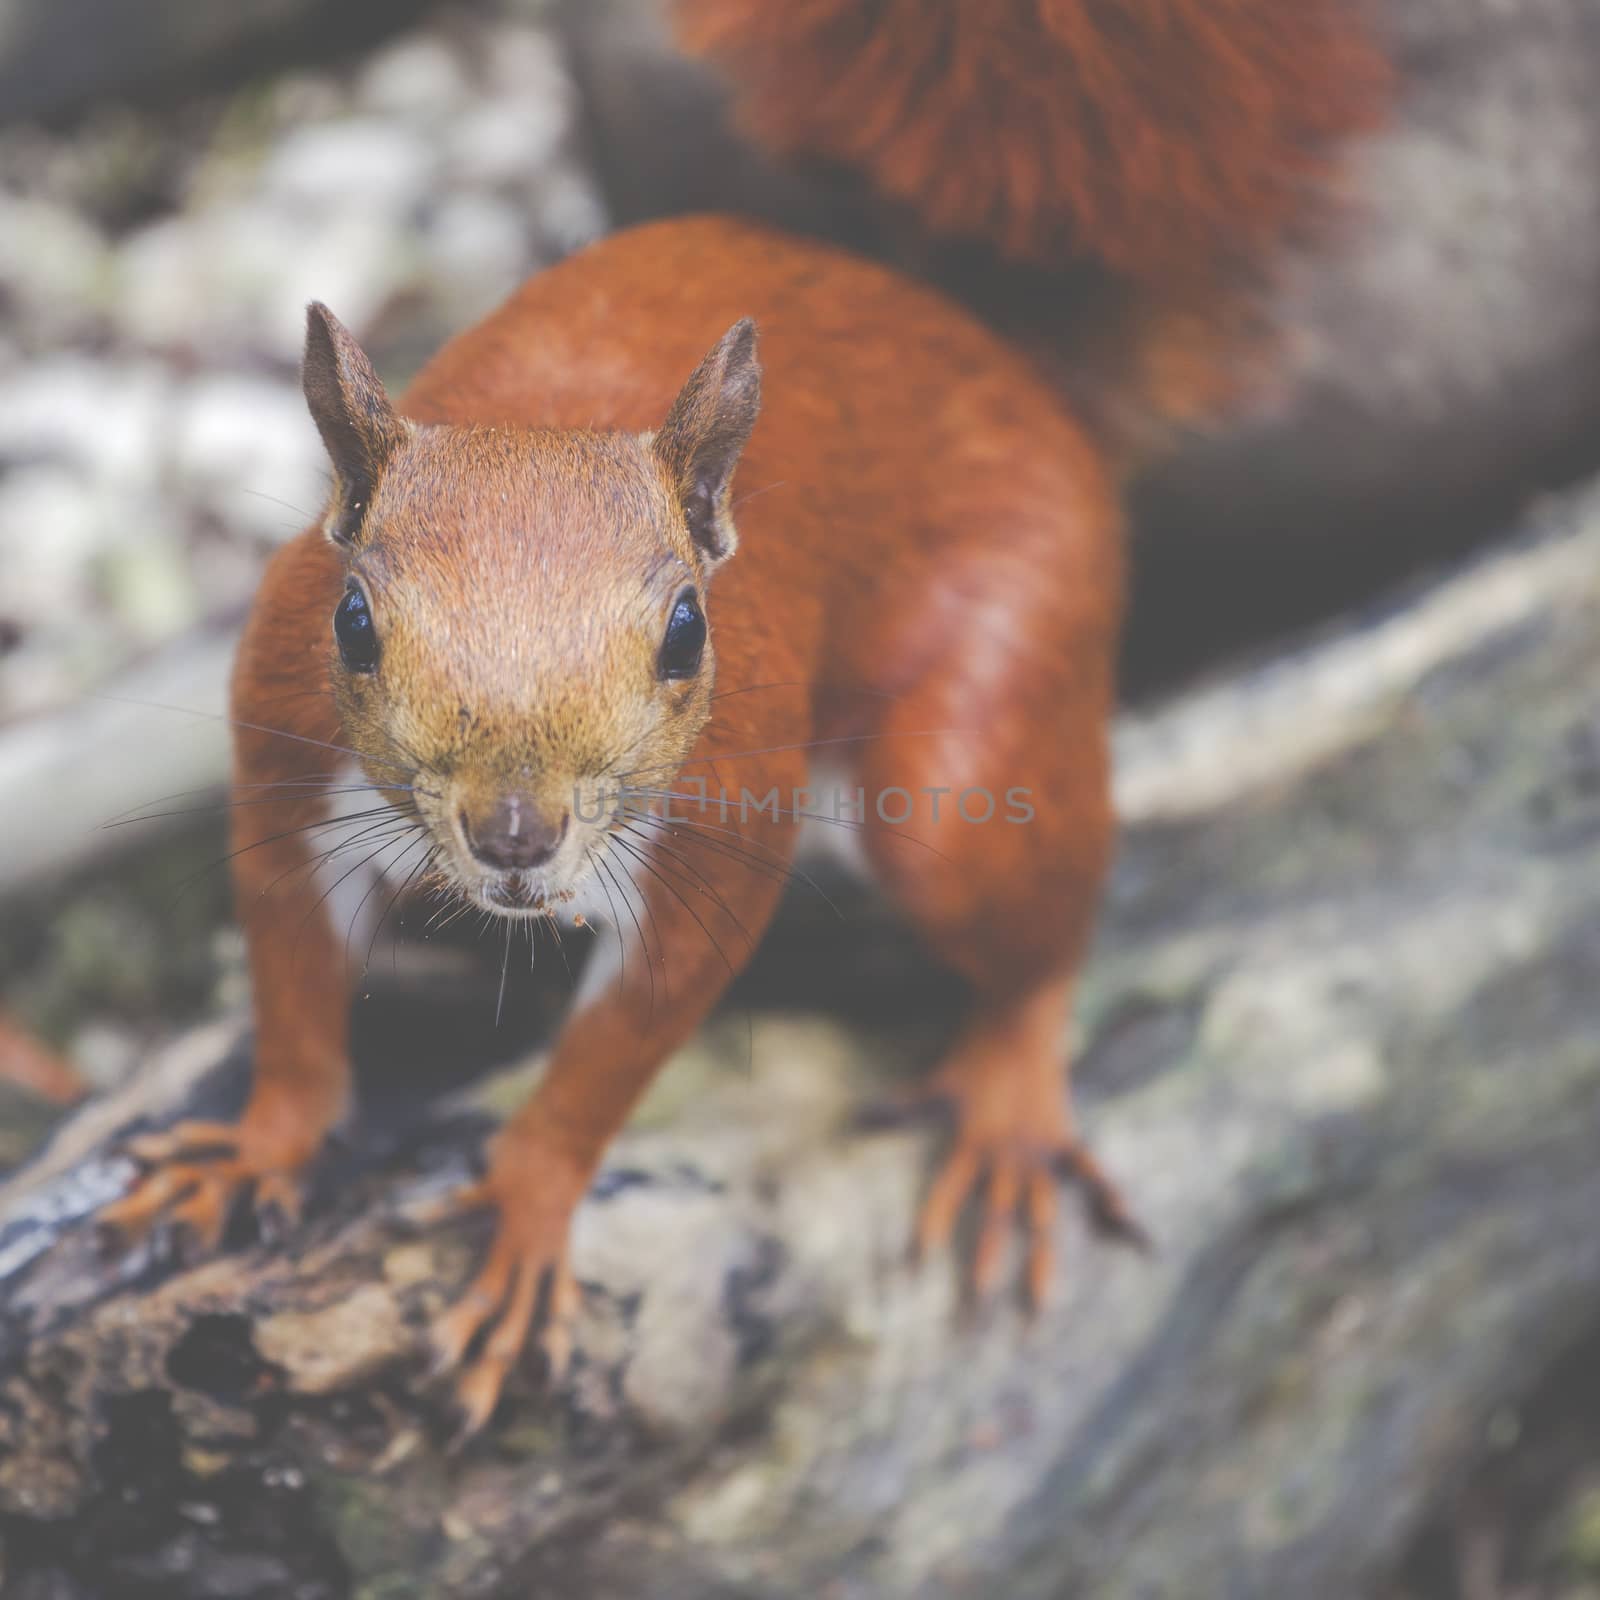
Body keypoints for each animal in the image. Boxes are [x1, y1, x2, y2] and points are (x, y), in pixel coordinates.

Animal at [93, 0, 1382, 1433]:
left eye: (687, 631)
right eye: (353, 621)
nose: (515, 834)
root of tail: (999, 356)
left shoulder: (720, 837)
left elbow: (614, 1054)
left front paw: (527, 1208)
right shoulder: (283, 773)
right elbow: (296, 999)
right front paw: (259, 1145)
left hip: (967, 756)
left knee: (1029, 919)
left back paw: (1009, 1100)